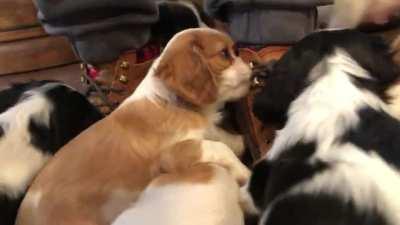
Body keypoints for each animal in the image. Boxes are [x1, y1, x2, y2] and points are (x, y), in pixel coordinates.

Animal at [17, 28, 252, 225]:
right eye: (224, 54)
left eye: (235, 51)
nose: (253, 69)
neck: (170, 101)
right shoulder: (171, 155)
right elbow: (218, 147)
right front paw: (245, 171)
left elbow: (222, 137)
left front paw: (239, 142)